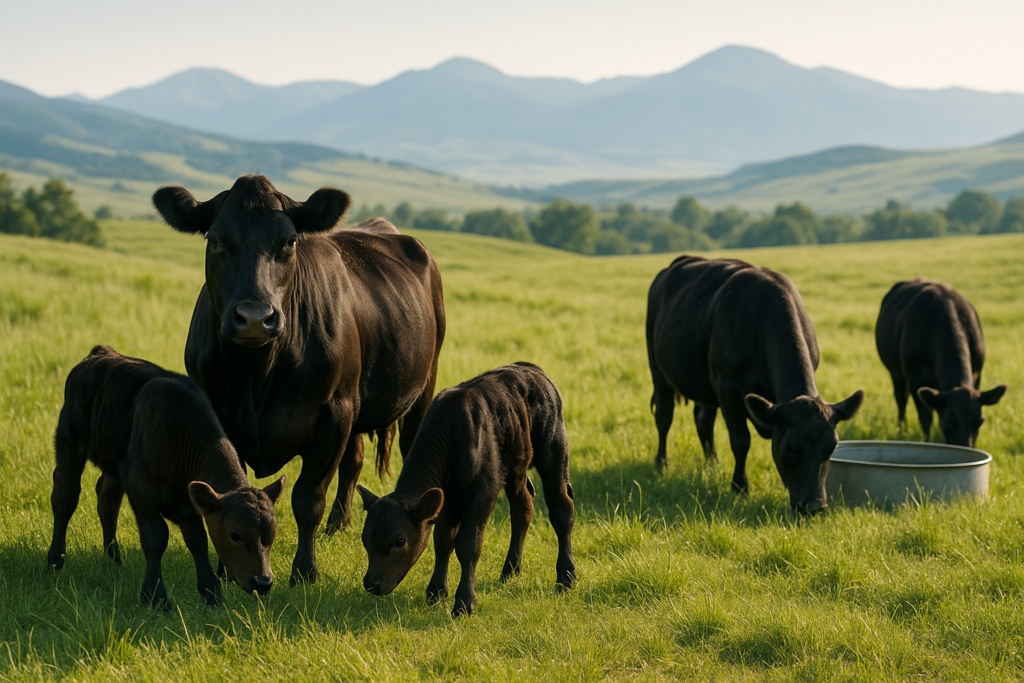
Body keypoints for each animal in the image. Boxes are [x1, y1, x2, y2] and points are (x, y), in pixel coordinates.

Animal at [47, 345, 285, 609]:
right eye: (235, 535)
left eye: (272, 533)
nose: (263, 582)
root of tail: (101, 352)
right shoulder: (142, 491)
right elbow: (156, 539)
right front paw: (155, 597)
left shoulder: (189, 502)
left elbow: (198, 541)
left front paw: (211, 592)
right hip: (69, 438)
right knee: (65, 496)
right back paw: (55, 560)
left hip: (115, 462)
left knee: (107, 501)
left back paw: (114, 561)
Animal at [152, 175, 445, 584]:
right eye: (215, 240)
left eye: (289, 241)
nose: (255, 317)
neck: (256, 376)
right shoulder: (220, 415)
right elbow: (231, 490)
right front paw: (228, 571)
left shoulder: (333, 414)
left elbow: (308, 499)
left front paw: (305, 572)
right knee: (353, 462)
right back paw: (339, 524)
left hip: (421, 388)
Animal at [357, 362, 576, 617]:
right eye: (364, 537)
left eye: (399, 541)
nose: (371, 584)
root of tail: (531, 368)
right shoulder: (447, 498)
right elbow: (443, 540)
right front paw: (436, 592)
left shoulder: (484, 490)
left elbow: (468, 545)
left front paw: (463, 603)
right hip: (516, 465)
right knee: (523, 507)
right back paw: (510, 570)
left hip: (554, 449)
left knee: (561, 509)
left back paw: (566, 578)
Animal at [646, 255, 864, 513]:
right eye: (790, 451)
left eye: (830, 449)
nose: (813, 507)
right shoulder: (727, 389)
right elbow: (741, 441)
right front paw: (740, 488)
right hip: (658, 371)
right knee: (664, 417)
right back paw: (662, 465)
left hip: (703, 383)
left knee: (703, 420)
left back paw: (712, 465)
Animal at [875, 278, 1006, 447]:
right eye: (947, 426)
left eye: (980, 421)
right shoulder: (916, 381)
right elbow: (925, 418)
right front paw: (927, 441)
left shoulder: (977, 375)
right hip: (896, 372)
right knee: (901, 400)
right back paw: (901, 430)